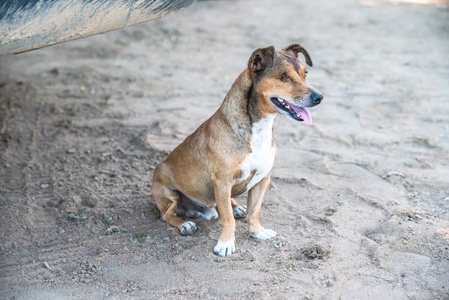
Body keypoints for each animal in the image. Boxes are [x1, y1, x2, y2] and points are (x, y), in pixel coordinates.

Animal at [153, 43, 322, 256]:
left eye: (305, 74)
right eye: (284, 77)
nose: (319, 97)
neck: (258, 130)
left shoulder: (262, 179)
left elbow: (255, 211)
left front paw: (257, 232)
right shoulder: (223, 183)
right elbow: (227, 219)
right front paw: (226, 243)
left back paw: (236, 207)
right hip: (169, 193)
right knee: (166, 214)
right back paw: (185, 224)